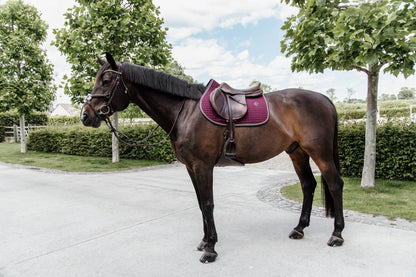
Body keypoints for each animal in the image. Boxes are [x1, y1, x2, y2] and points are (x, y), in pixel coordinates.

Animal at [80, 52, 344, 262]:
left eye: (106, 80)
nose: (85, 115)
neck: (185, 112)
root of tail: (325, 99)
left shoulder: (203, 166)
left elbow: (208, 204)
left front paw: (211, 249)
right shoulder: (191, 167)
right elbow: (200, 204)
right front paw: (204, 242)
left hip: (319, 153)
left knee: (335, 184)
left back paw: (336, 235)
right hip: (297, 152)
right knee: (308, 184)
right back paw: (299, 229)